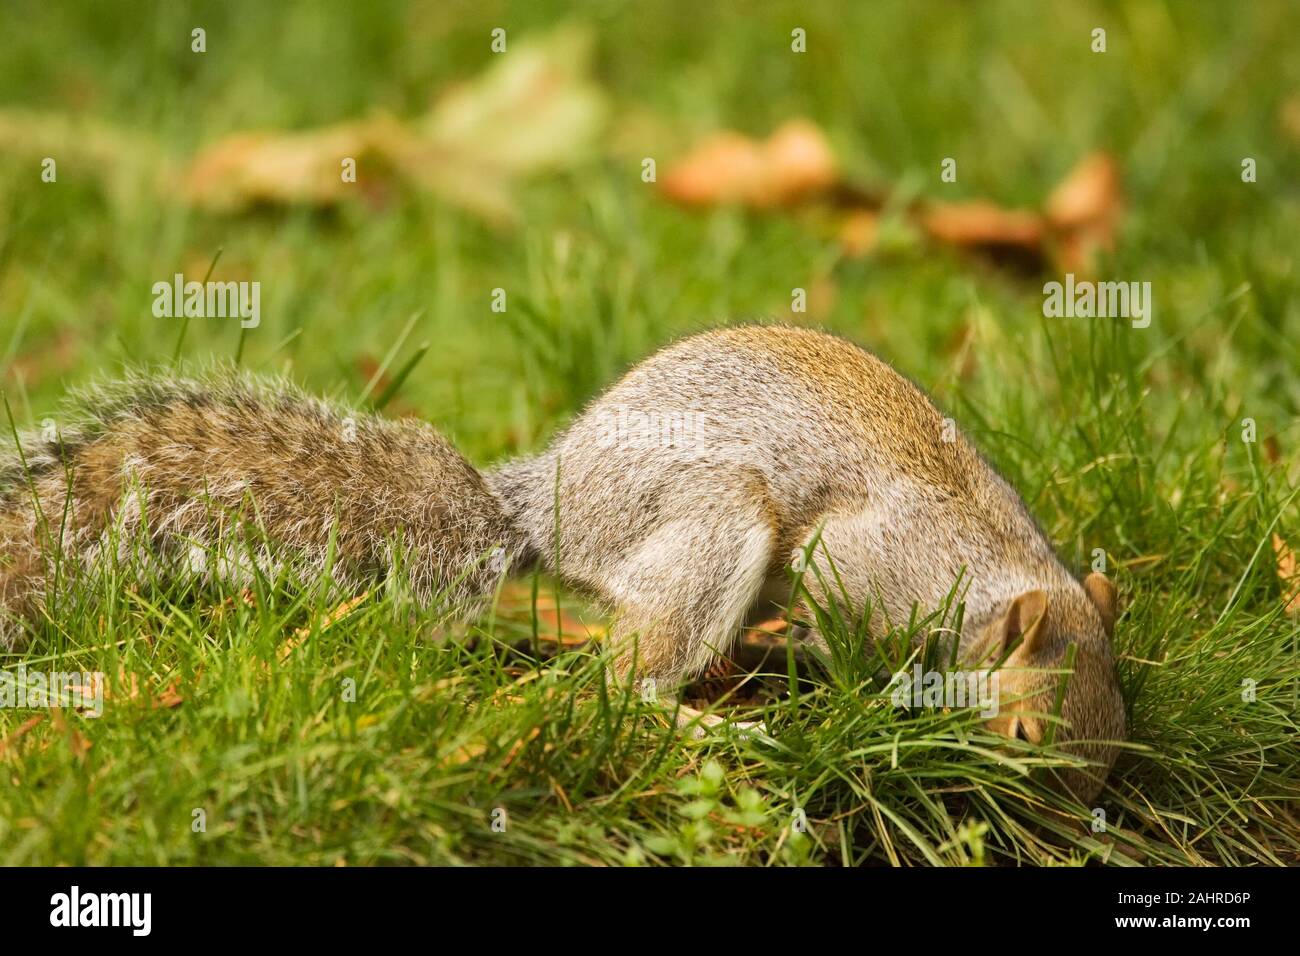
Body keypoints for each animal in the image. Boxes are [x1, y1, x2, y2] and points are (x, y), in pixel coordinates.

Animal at [488, 324, 1126, 801]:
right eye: (1023, 732)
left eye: (1117, 742)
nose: (1057, 829)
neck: (988, 573)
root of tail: (552, 501)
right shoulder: (851, 560)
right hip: (709, 527)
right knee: (625, 684)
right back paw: (722, 726)